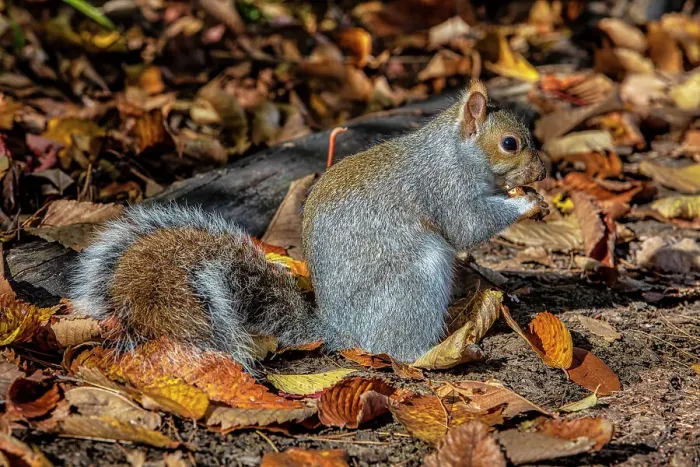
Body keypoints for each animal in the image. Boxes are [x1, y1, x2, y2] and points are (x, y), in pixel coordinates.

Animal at [70, 80, 548, 370]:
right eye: (510, 143)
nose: (543, 173)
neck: (454, 151)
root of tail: (340, 331)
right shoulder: (445, 187)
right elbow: (467, 225)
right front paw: (525, 203)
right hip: (416, 279)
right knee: (397, 349)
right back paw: (436, 353)